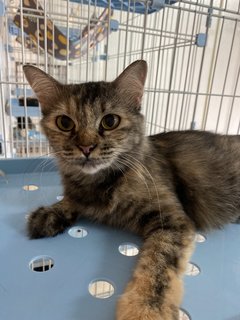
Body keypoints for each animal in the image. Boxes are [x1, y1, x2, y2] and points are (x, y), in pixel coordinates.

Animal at [23, 60, 240, 320]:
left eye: (110, 121)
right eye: (65, 123)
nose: (86, 147)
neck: (98, 183)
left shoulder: (172, 220)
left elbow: (157, 266)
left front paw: (146, 308)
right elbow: (70, 200)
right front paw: (50, 213)